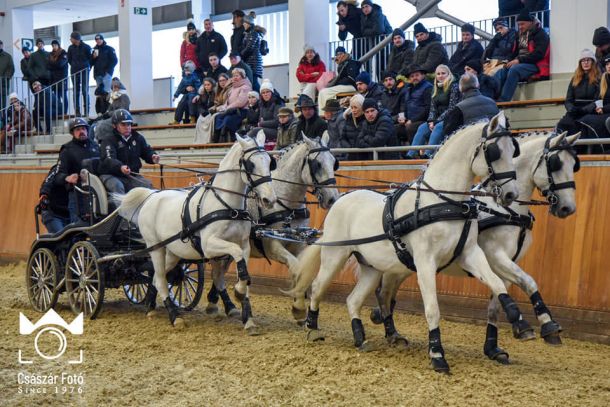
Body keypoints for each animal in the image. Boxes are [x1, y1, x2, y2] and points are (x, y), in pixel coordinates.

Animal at [116, 135, 276, 334]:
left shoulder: (244, 245)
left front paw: (248, 317)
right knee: (160, 279)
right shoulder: (209, 246)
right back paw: (175, 317)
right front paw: (238, 294)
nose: (270, 200)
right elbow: (235, 256)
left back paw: (151, 308)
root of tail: (152, 195)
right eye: (251, 164)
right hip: (156, 248)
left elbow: (243, 272)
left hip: (173, 253)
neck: (227, 206)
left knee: (155, 278)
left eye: (269, 162)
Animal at [203, 134, 338, 318]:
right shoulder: (272, 246)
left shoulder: (299, 245)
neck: (286, 204)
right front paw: (299, 307)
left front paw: (299, 305)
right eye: (317, 164)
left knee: (219, 273)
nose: (332, 198)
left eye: (334, 162)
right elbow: (296, 267)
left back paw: (219, 304)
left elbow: (302, 271)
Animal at [284, 111, 524, 372]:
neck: (442, 201)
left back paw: (360, 337)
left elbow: (497, 284)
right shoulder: (425, 262)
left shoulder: (469, 254)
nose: (511, 194)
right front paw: (437, 355)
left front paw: (520, 321)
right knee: (318, 287)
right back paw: (312, 327)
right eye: (494, 151)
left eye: (513, 150)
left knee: (353, 299)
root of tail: (341, 199)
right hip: (335, 257)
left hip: (372, 268)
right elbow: (432, 309)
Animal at [366, 130, 580, 364]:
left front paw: (494, 348)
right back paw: (391, 332)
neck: (506, 210)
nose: (568, 208)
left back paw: (388, 328)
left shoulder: (504, 265)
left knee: (387, 294)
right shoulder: (496, 256)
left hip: (404, 267)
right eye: (556, 164)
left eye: (574, 165)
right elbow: (529, 281)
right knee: (384, 293)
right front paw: (546, 325)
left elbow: (496, 304)